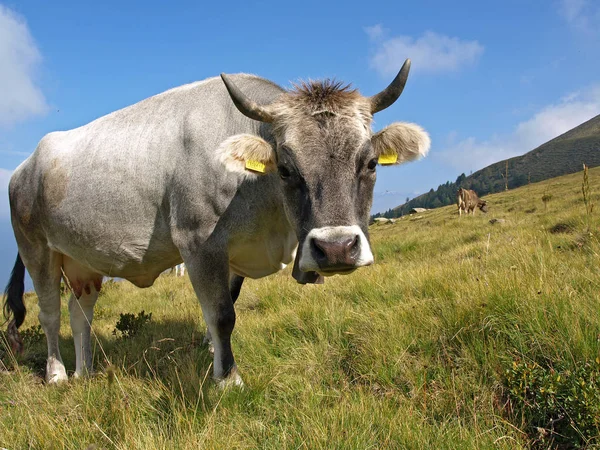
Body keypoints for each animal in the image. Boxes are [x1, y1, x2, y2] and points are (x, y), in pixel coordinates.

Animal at [2, 58, 428, 384]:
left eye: (370, 163)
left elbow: (223, 310)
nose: (336, 248)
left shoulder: (233, 254)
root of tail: (25, 165)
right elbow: (222, 316)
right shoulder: (199, 244)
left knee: (80, 314)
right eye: (286, 169)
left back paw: (85, 373)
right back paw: (57, 375)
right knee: (50, 314)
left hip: (83, 261)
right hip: (35, 249)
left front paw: (215, 361)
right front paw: (228, 380)